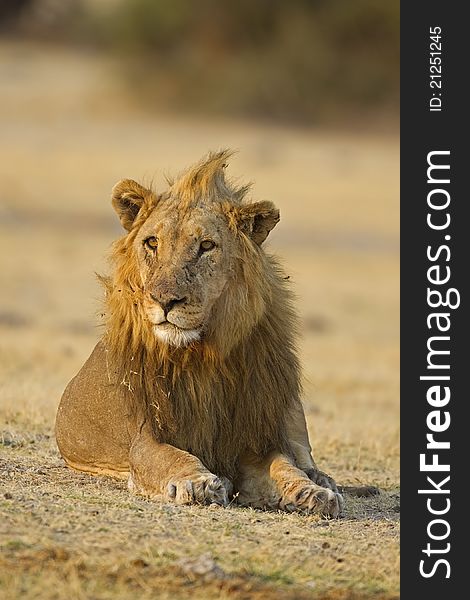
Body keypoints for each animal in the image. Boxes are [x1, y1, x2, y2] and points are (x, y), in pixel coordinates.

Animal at [56, 149, 346, 516]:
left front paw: (311, 492)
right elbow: (170, 457)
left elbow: (283, 464)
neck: (200, 355)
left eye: (206, 246)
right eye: (152, 243)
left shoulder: (253, 437)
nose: (165, 301)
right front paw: (198, 483)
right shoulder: (145, 434)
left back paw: (322, 480)